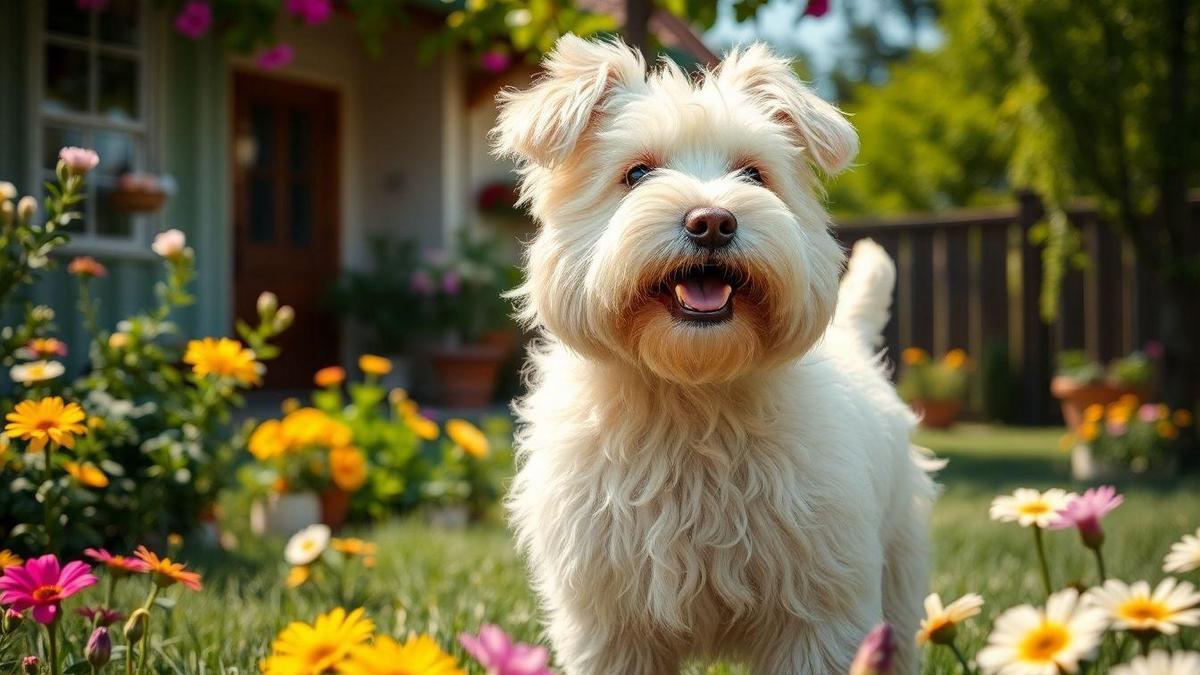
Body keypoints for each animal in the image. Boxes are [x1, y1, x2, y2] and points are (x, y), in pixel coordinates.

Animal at [496, 38, 936, 672]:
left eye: (753, 173)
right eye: (636, 173)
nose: (712, 221)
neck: (691, 396)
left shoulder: (819, 610)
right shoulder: (612, 624)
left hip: (897, 566)